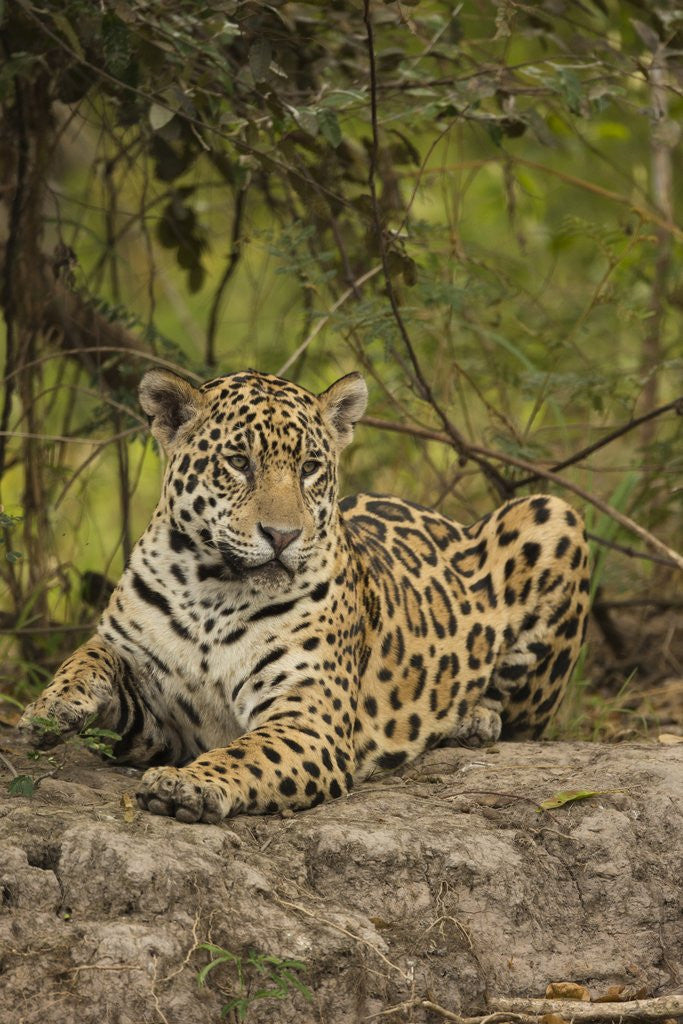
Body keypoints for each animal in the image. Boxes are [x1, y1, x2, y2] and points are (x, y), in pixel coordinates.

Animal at [18, 368, 590, 824]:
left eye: (310, 468)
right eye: (238, 461)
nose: (283, 535)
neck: (213, 588)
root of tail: (449, 519)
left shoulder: (308, 721)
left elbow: (246, 752)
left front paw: (187, 784)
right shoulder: (162, 727)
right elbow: (91, 655)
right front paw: (50, 709)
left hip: (552, 513)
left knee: (521, 719)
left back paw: (474, 720)